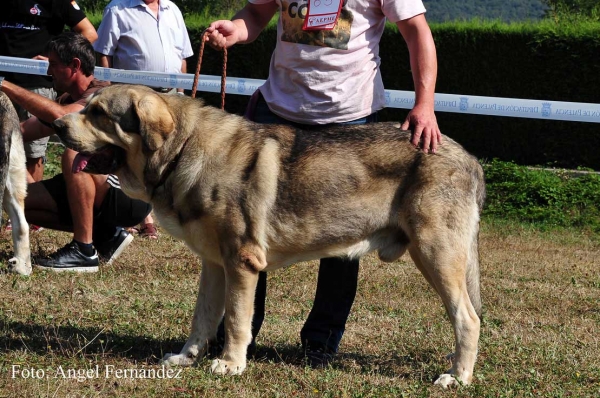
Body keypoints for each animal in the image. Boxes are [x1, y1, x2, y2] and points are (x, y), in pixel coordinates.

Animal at [52, 85, 488, 388]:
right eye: (86, 107)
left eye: (98, 113)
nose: (56, 124)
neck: (184, 151)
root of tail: (470, 157)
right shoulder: (213, 264)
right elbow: (203, 317)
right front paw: (186, 357)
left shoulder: (241, 263)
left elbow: (236, 319)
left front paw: (230, 364)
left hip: (436, 255)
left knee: (467, 318)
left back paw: (457, 376)